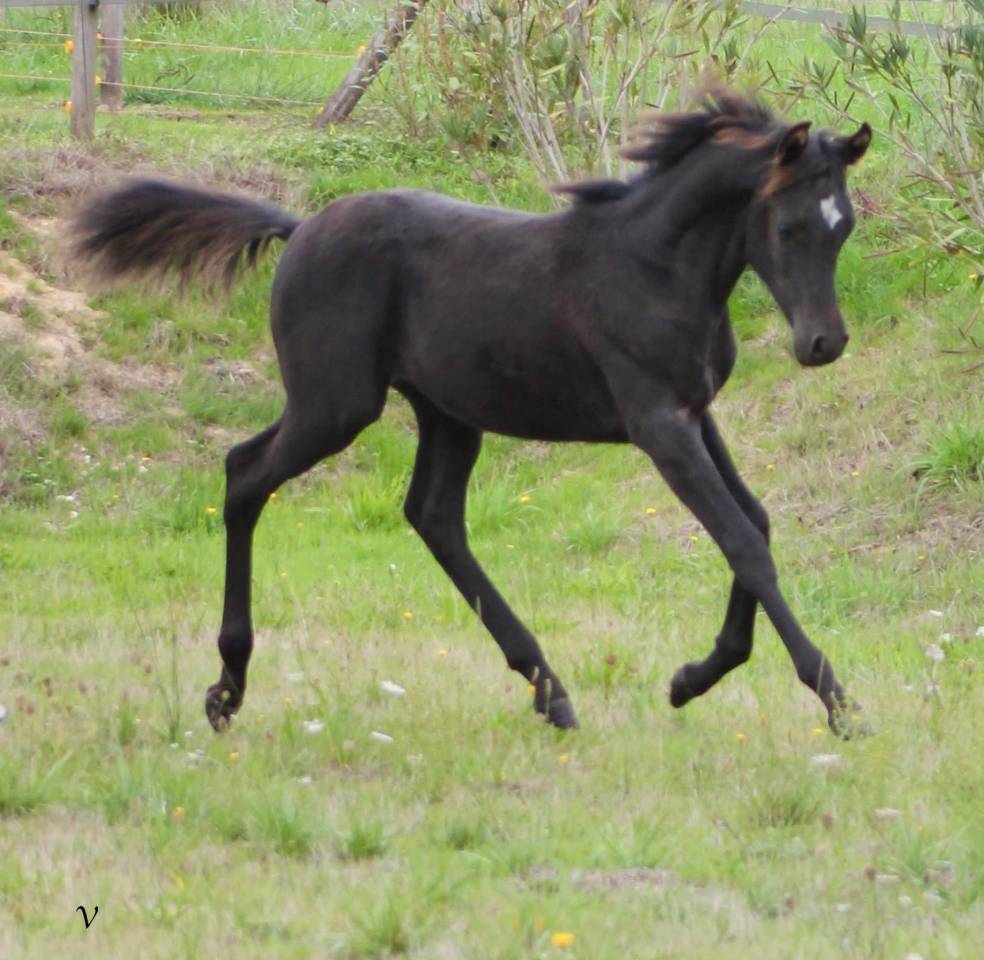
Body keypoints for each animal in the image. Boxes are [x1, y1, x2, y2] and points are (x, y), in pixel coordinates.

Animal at [69, 88, 872, 737]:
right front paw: (838, 702)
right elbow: (741, 541)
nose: (823, 342)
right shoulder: (657, 422)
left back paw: (550, 692)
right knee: (244, 473)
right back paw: (228, 688)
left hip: (443, 412)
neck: (657, 267)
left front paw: (692, 679)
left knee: (432, 515)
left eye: (845, 227)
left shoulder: (696, 412)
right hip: (336, 404)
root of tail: (299, 229)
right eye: (790, 227)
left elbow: (756, 524)